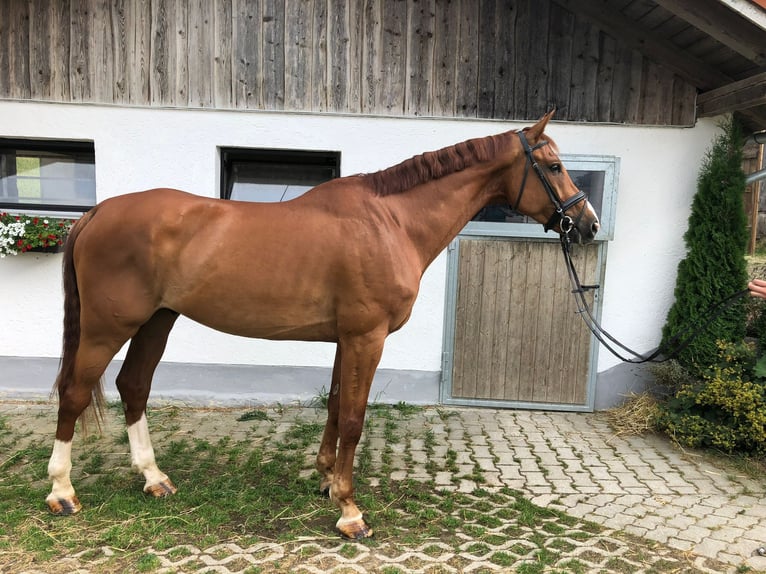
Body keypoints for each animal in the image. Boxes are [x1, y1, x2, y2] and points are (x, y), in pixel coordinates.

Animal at [46, 112, 600, 540]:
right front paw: (351, 512)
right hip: (107, 327)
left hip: (156, 321)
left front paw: (328, 481)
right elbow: (353, 418)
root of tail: (96, 212)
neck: (390, 221)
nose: (588, 225)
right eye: (554, 166)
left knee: (133, 386)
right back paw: (62, 490)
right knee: (74, 392)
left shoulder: (344, 339)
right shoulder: (365, 337)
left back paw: (153, 478)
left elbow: (335, 406)